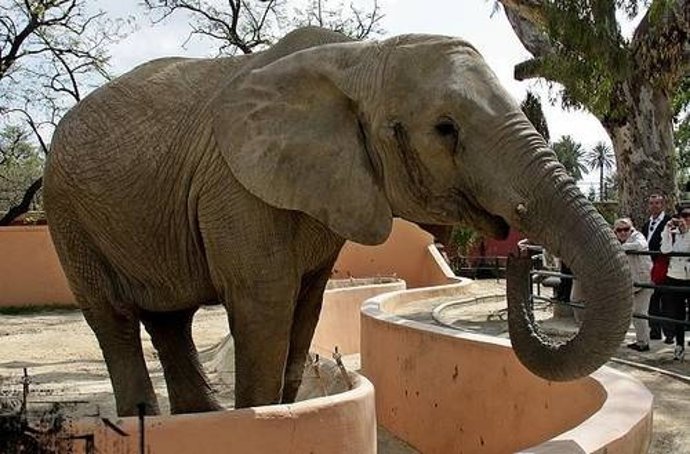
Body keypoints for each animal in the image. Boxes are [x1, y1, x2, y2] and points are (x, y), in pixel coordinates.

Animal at [43, 26, 632, 417]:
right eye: (445, 129)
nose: (521, 253)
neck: (355, 58)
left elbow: (305, 306)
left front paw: (282, 409)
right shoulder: (235, 189)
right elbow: (264, 303)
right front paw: (260, 419)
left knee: (170, 321)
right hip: (67, 215)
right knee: (114, 318)